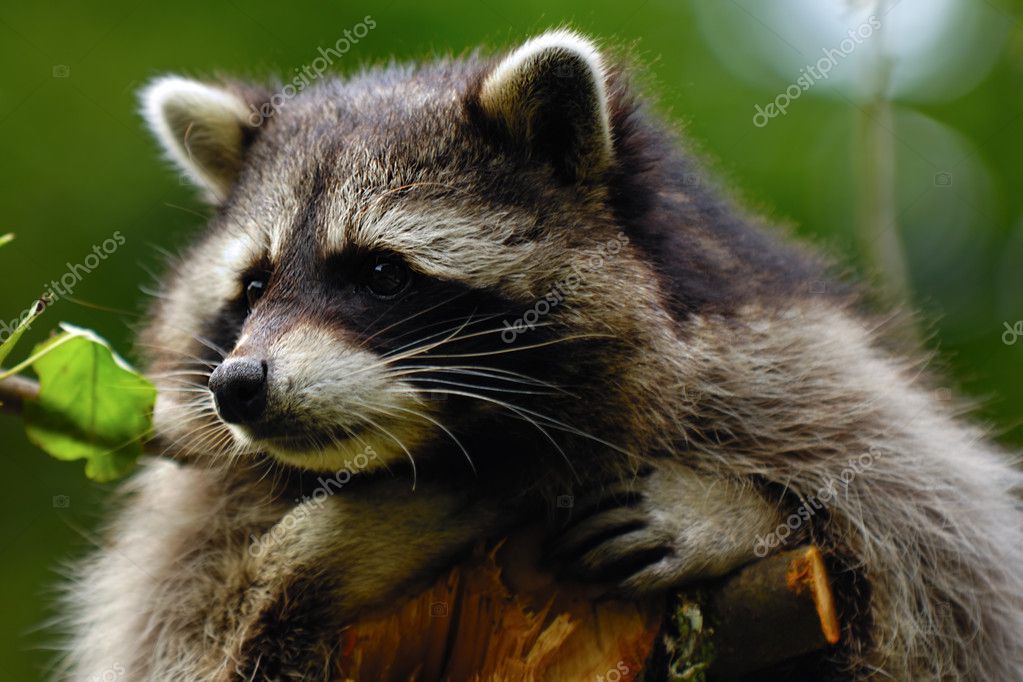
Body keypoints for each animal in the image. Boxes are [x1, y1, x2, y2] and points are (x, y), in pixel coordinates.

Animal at [60, 30, 1023, 681]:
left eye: (379, 273)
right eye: (255, 285)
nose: (239, 386)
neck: (460, 437)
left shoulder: (786, 354)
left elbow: (946, 566)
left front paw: (737, 511)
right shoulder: (198, 511)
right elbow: (186, 633)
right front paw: (336, 546)